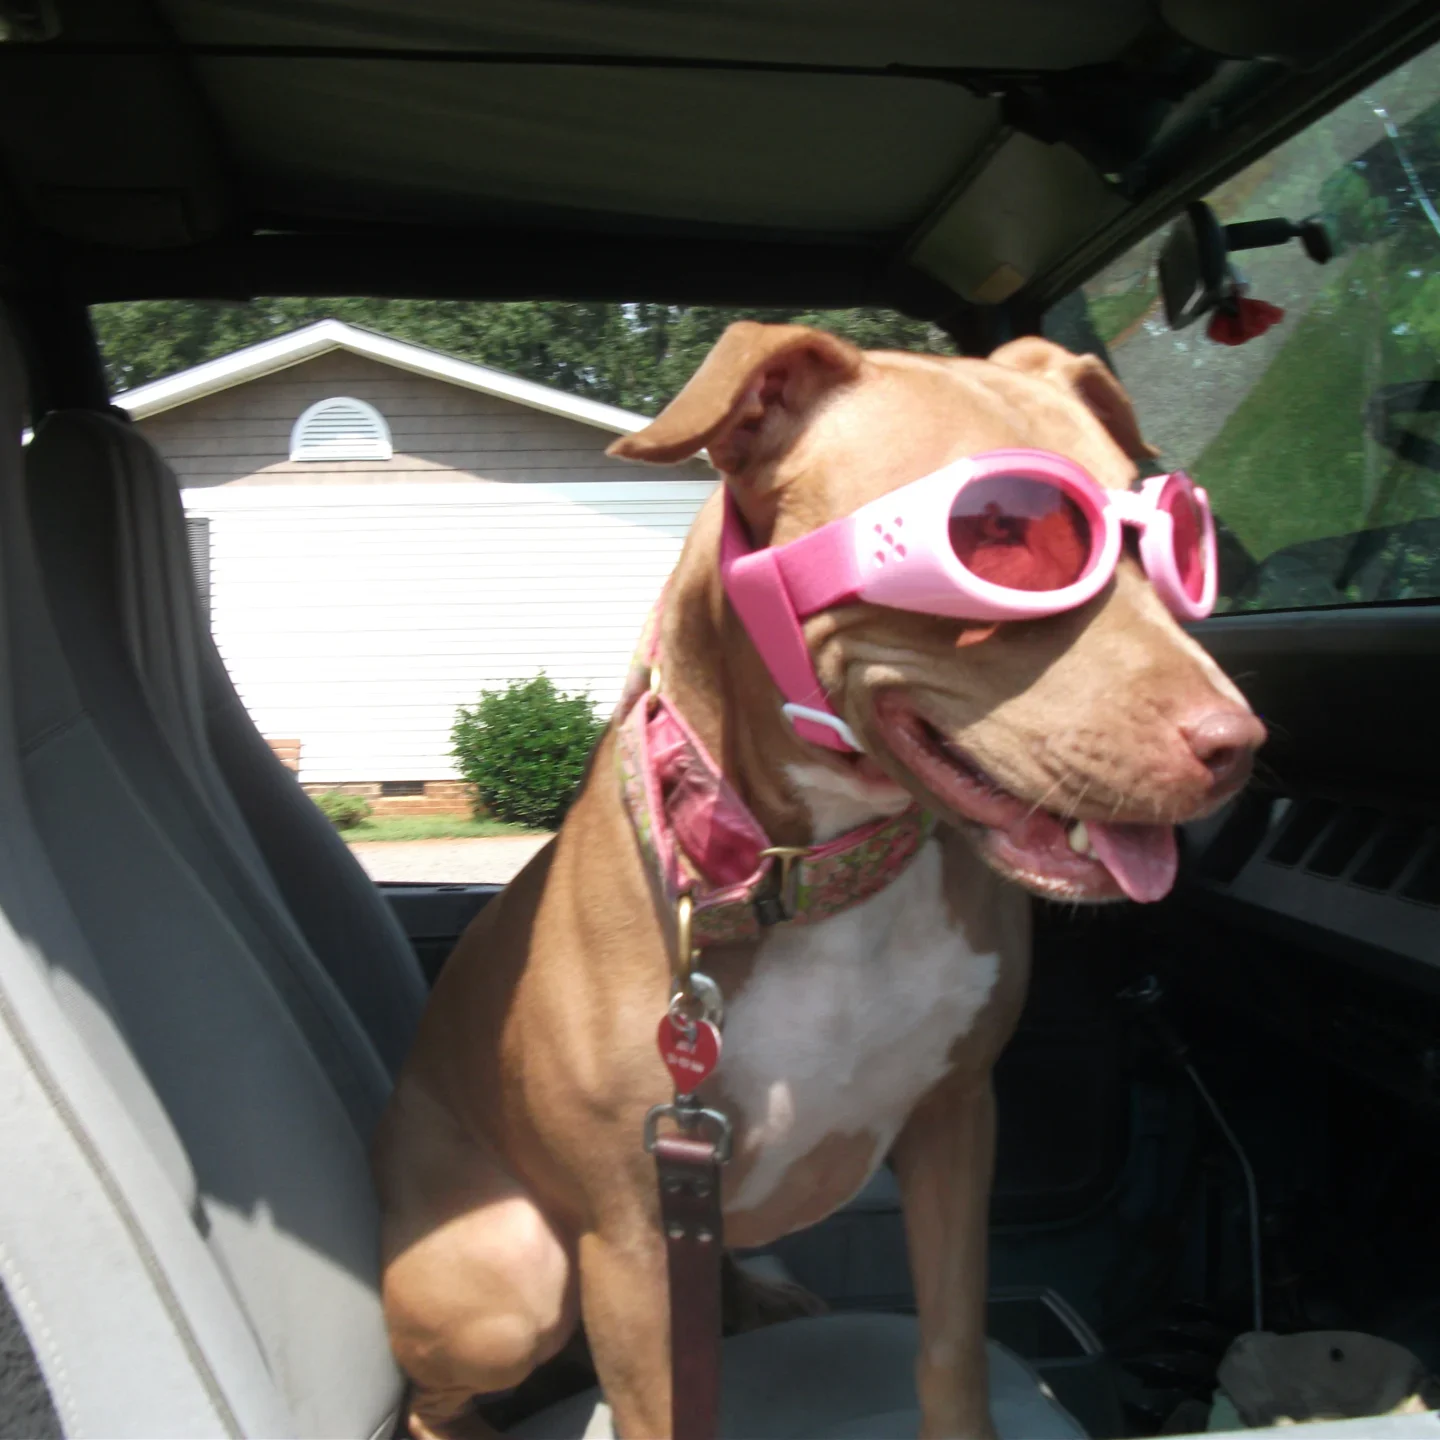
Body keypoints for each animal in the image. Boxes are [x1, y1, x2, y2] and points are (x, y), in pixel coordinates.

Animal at [371, 326, 1261, 1440]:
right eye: (1002, 534)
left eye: (1175, 539)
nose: (1239, 745)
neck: (819, 876)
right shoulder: (629, 1239)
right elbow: (665, 1414)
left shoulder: (956, 1124)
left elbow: (951, 1351)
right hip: (516, 1276)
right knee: (433, 1398)